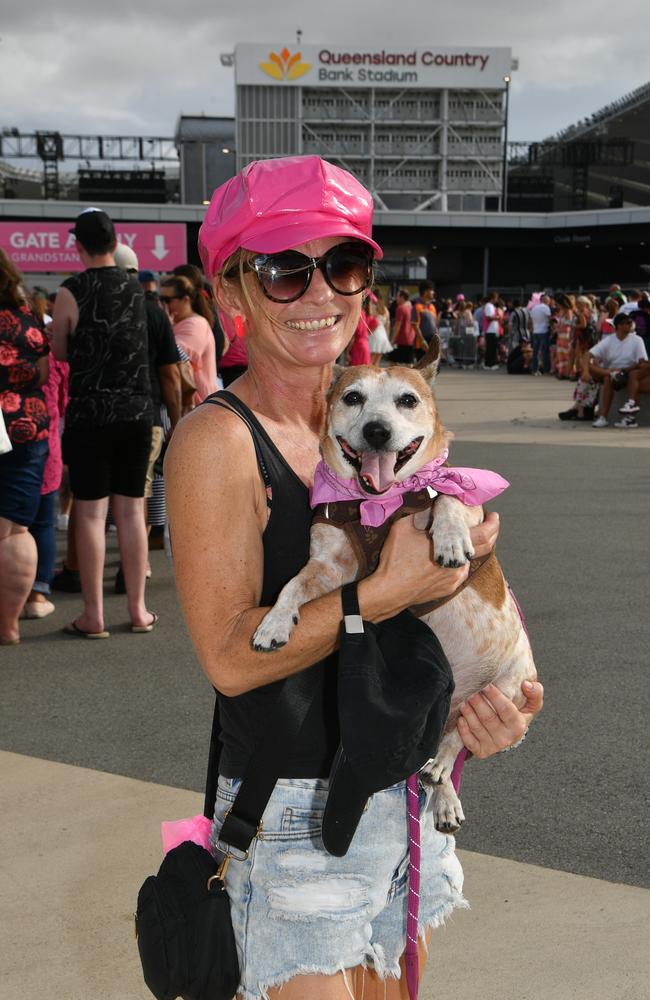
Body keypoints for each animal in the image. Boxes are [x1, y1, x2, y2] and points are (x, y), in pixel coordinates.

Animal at [251, 340, 536, 832]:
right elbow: (291, 586)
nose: (378, 431)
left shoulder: (471, 508)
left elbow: (447, 496)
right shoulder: (328, 567)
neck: (380, 502)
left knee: (457, 742)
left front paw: (449, 538)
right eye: (352, 398)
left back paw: (441, 772)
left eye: (408, 400)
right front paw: (274, 623)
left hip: (510, 684)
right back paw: (442, 796)